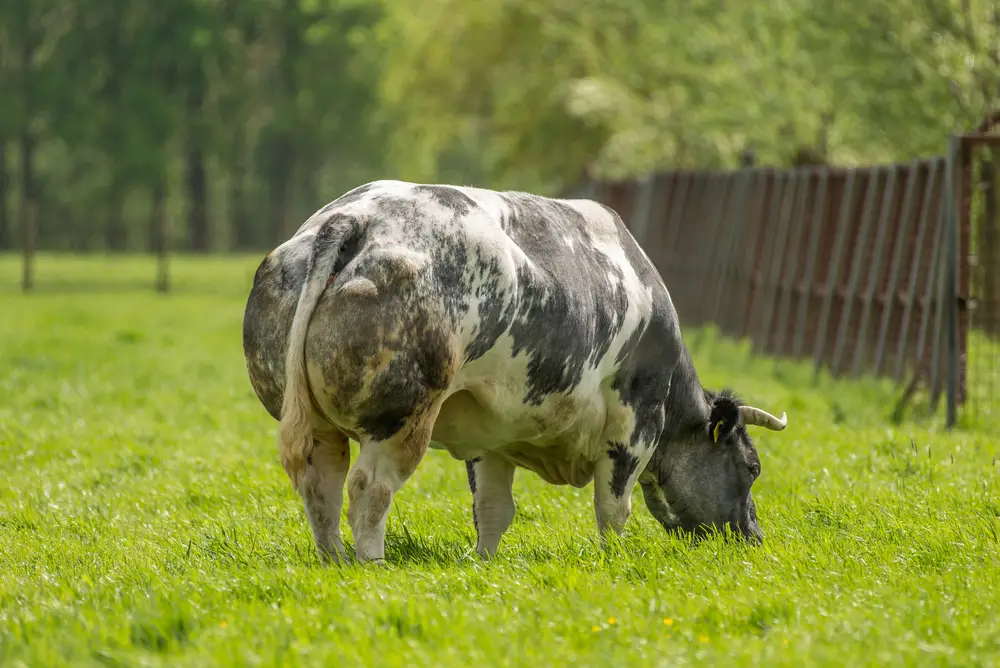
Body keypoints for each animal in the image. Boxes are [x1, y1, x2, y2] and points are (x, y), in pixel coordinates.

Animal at [242, 179, 788, 564]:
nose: (755, 537)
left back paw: (334, 561)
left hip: (318, 425)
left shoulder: (491, 435)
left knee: (321, 486)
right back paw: (371, 563)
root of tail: (354, 217)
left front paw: (484, 563)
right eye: (752, 467)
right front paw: (614, 561)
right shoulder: (634, 426)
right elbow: (613, 509)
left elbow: (493, 510)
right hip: (401, 417)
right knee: (368, 489)